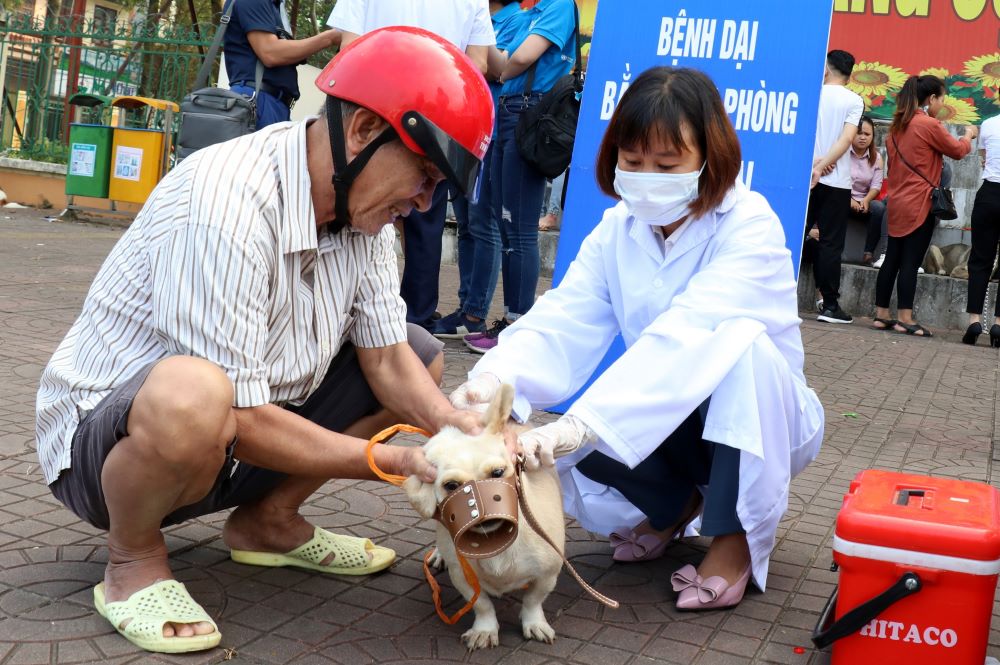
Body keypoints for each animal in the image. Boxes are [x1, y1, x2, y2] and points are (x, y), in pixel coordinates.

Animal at [402, 384, 568, 648]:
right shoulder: (463, 577)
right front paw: (485, 629)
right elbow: (482, 605)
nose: (484, 513)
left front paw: (534, 623)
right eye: (451, 486)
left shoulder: (548, 574)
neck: (493, 543)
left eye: (498, 472)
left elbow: (533, 600)